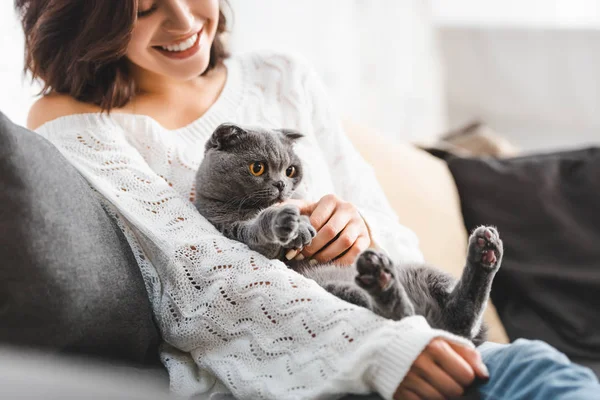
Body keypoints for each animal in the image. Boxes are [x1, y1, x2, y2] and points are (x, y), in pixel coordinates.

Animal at [196, 122, 502, 344]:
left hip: (424, 272)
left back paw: (485, 250)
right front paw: (287, 221)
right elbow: (261, 228)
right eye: (257, 168)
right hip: (337, 289)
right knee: (405, 318)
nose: (282, 184)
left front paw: (302, 222)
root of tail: (435, 324)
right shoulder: (233, 229)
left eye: (291, 170)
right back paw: (384, 282)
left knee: (458, 319)